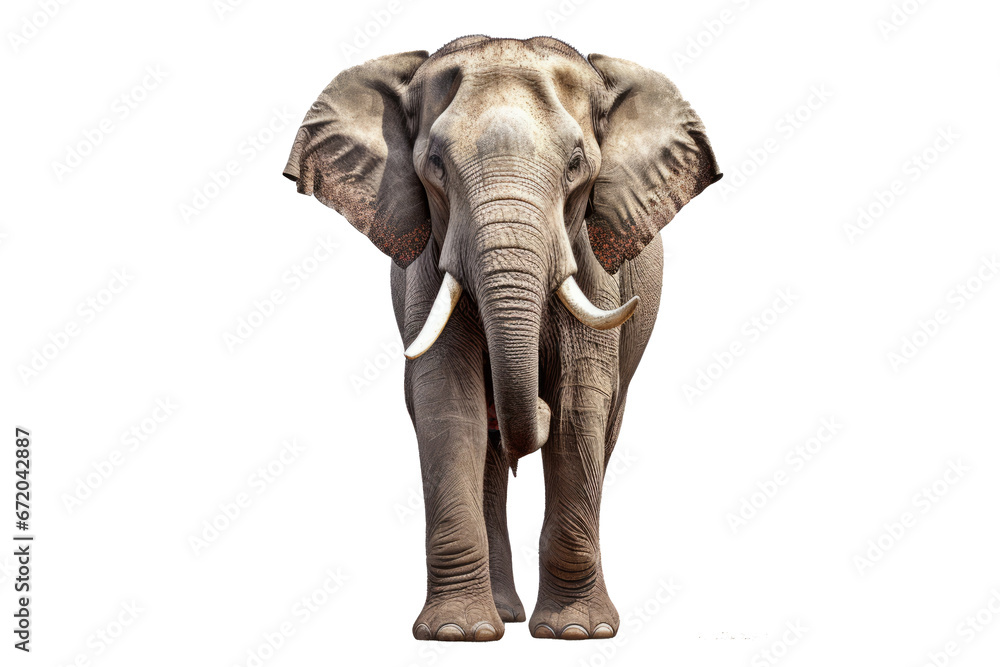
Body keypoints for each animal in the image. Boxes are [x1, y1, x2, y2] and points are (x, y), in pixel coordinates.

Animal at [282, 35, 721, 641]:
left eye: (577, 165)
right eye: (435, 166)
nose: (533, 404)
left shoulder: (595, 263)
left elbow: (579, 405)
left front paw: (577, 634)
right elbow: (446, 399)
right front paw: (456, 634)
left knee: (604, 426)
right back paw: (502, 616)